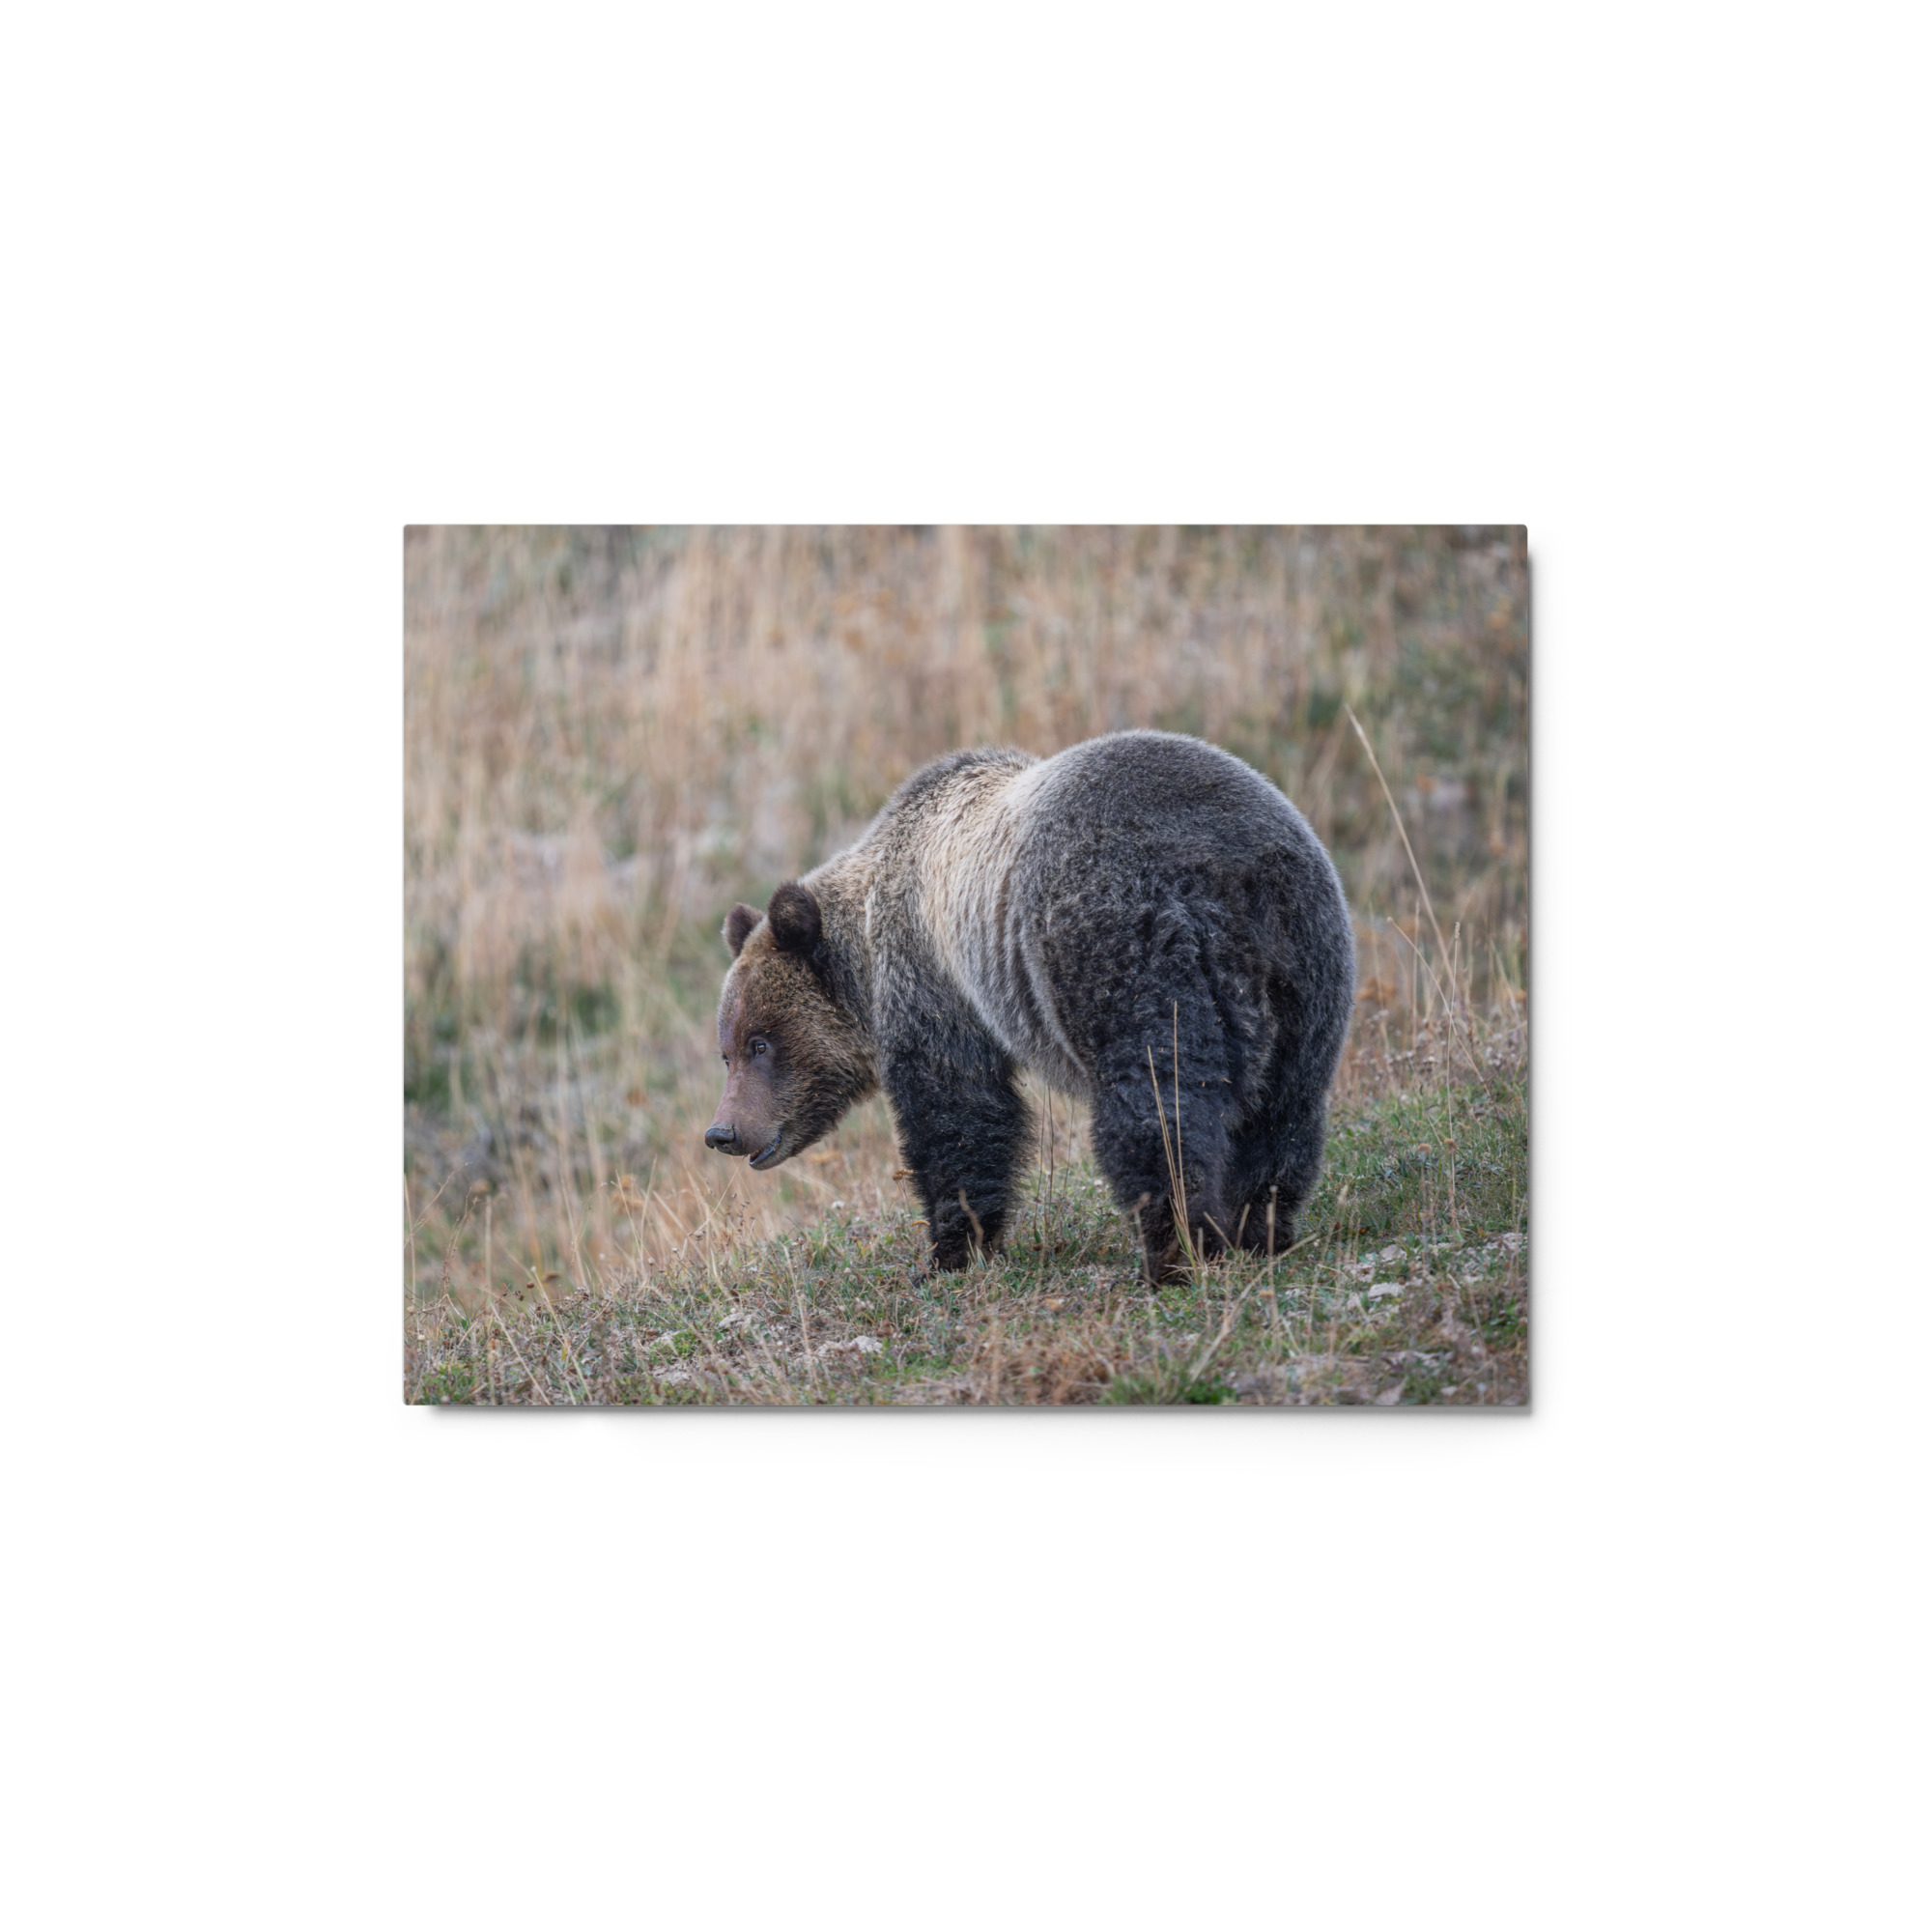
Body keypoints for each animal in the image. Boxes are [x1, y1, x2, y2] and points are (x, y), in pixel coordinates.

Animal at [705, 729, 1355, 1283]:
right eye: (727, 1051)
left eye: (760, 1043)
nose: (723, 1132)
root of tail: (1227, 871)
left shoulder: (934, 980)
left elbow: (958, 1113)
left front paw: (950, 1252)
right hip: (1306, 963)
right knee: (1284, 1109)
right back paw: (1259, 1228)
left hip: (1122, 946)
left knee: (1157, 1105)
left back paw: (1174, 1251)